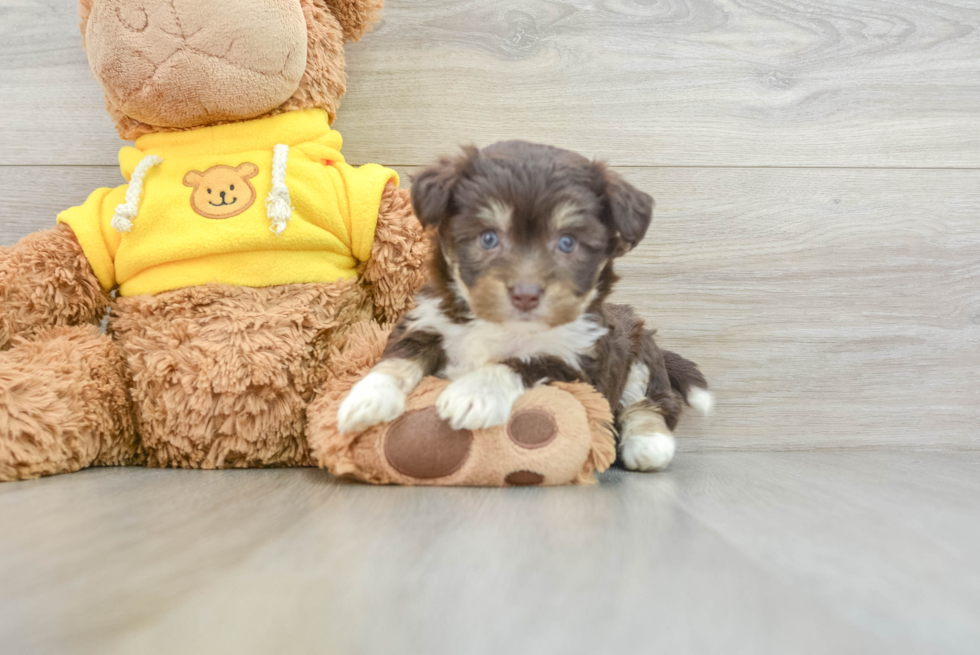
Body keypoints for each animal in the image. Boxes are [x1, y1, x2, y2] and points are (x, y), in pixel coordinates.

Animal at [336, 142, 712, 472]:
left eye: (567, 243)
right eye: (488, 237)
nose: (526, 294)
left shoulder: (575, 360)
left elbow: (520, 361)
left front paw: (473, 393)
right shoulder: (426, 320)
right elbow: (399, 357)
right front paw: (367, 397)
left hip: (639, 358)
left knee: (651, 402)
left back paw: (649, 444)